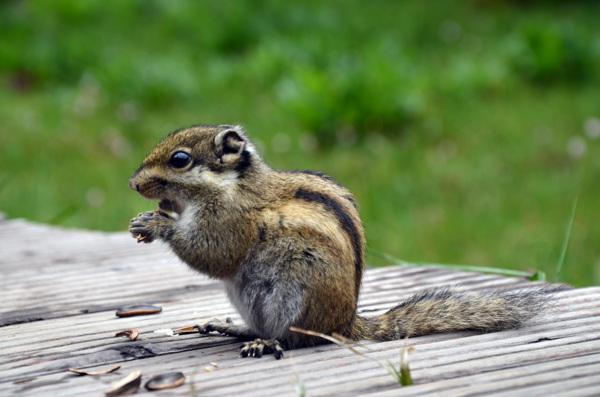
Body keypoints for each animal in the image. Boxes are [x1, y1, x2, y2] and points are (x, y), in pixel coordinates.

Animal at [127, 124, 564, 358]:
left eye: (179, 160)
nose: (133, 184)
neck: (231, 185)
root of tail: (345, 324)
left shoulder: (231, 222)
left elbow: (214, 255)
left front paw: (157, 224)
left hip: (293, 294)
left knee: (293, 336)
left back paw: (264, 343)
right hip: (248, 296)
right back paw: (235, 329)